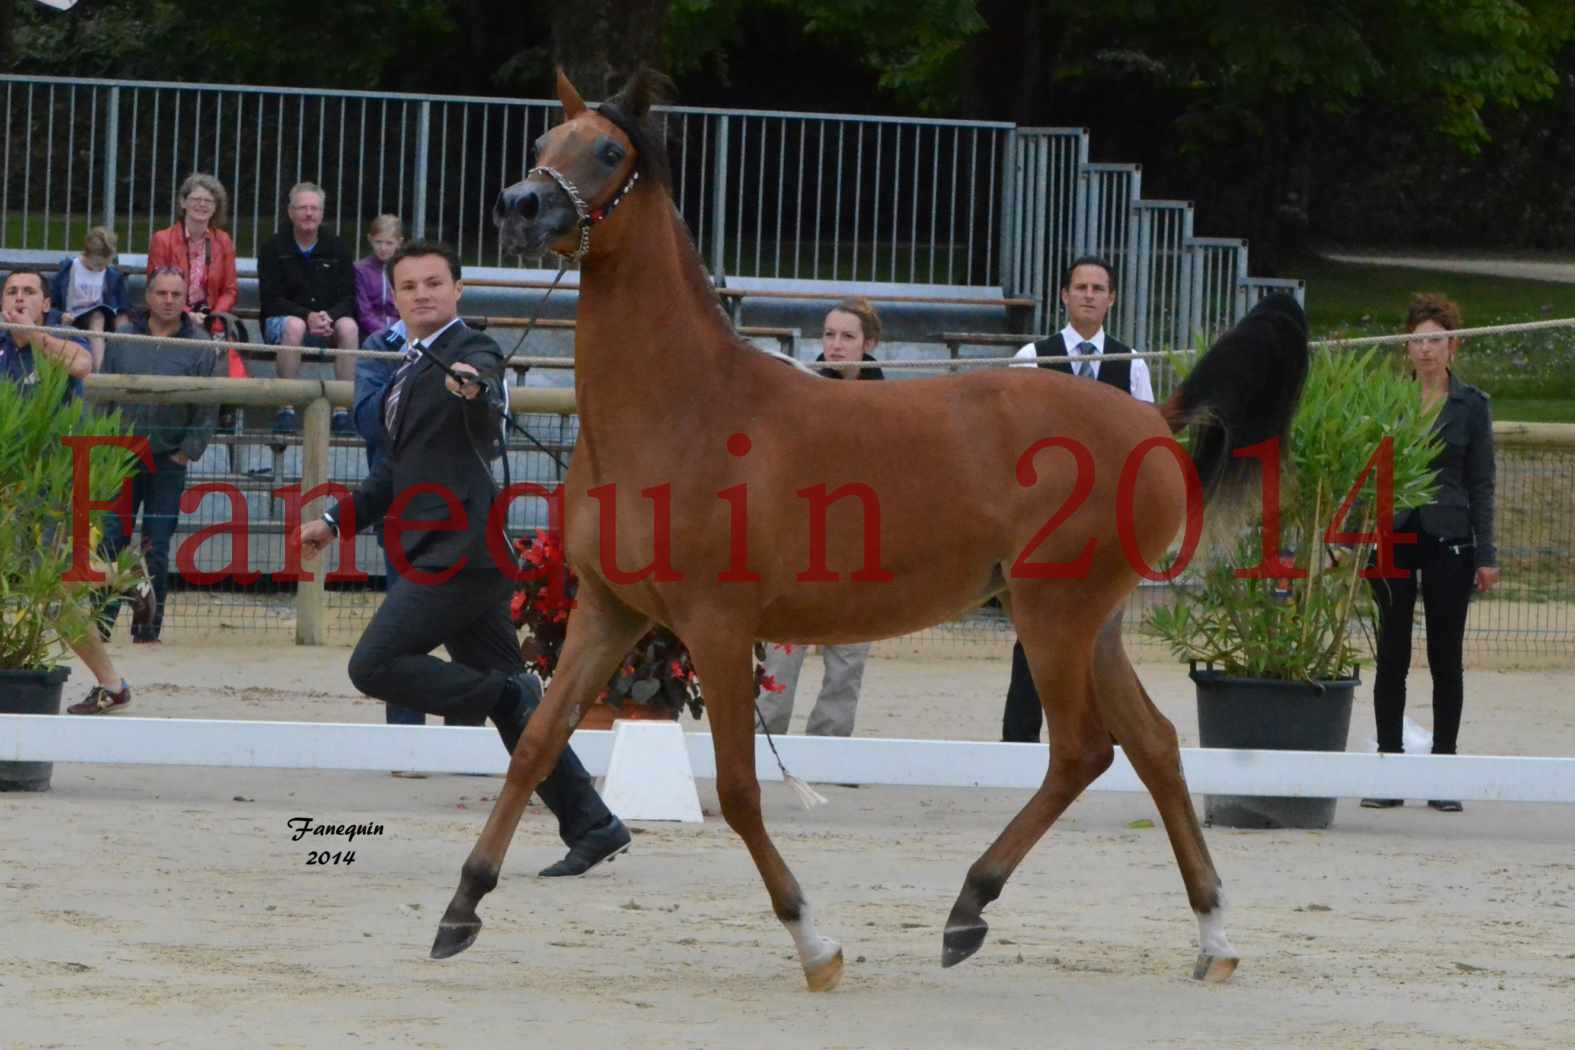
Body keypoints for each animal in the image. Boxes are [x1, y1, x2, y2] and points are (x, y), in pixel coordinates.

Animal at [431, 67, 1304, 994]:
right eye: (540, 145)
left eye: (605, 151)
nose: (519, 205)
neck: (682, 407)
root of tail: (1150, 417)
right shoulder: (608, 612)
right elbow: (534, 745)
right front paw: (462, 908)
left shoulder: (716, 626)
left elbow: (738, 789)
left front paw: (814, 942)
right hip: (1087, 624)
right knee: (1155, 746)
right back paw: (1210, 935)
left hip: (1053, 617)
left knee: (1080, 753)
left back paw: (969, 910)